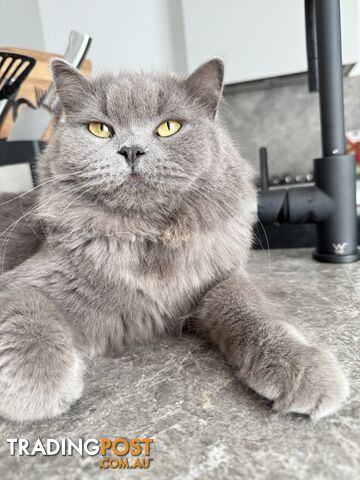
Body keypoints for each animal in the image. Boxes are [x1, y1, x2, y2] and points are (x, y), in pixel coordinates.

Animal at [0, 58, 348, 422]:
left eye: (169, 127)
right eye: (100, 129)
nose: (131, 150)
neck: (149, 237)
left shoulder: (215, 280)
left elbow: (248, 305)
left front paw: (302, 364)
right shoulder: (26, 280)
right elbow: (27, 307)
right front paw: (37, 382)